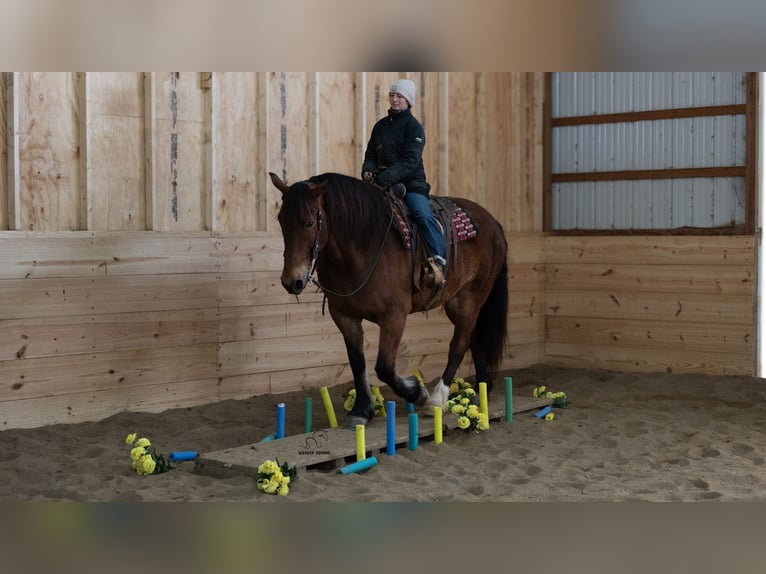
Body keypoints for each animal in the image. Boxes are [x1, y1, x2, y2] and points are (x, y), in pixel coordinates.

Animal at [270, 172, 508, 427]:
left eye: (309, 223)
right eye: (281, 221)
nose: (291, 281)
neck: (361, 245)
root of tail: (493, 223)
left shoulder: (394, 316)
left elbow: (384, 367)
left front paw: (418, 393)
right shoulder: (344, 316)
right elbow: (357, 362)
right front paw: (362, 410)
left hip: (468, 299)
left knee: (459, 344)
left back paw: (437, 399)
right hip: (458, 303)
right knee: (472, 338)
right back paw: (481, 387)